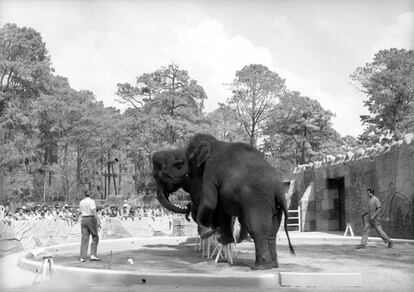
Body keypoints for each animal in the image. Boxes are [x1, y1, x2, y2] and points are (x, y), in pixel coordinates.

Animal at [184, 133, 294, 270]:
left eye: (189, 158)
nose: (188, 174)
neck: (215, 143)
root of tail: (279, 188)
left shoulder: (211, 170)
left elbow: (210, 201)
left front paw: (208, 232)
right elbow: (222, 209)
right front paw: (224, 240)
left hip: (257, 199)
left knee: (257, 228)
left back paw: (260, 267)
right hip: (275, 204)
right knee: (272, 232)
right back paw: (273, 265)